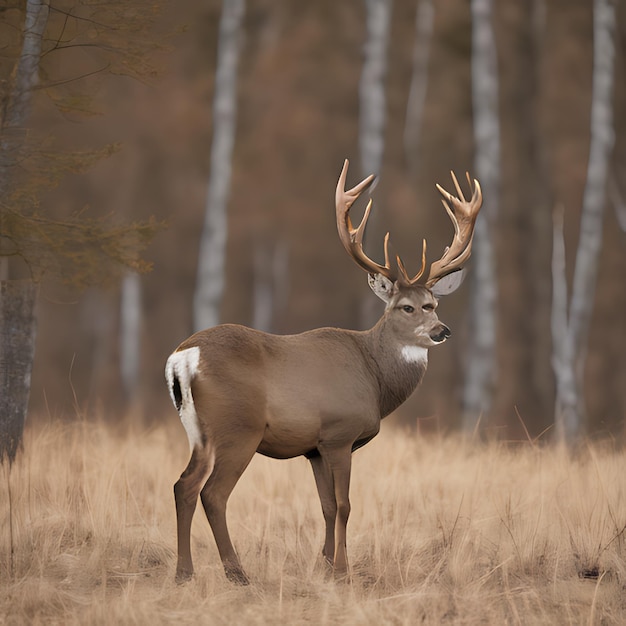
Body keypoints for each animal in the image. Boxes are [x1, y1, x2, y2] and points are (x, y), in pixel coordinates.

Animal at [163, 158, 480, 584]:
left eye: (435, 303)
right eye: (407, 307)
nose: (441, 331)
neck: (374, 377)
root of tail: (184, 356)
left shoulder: (312, 449)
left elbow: (327, 506)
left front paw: (326, 564)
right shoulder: (339, 435)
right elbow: (345, 504)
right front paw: (343, 570)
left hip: (197, 432)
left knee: (183, 485)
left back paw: (184, 572)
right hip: (238, 428)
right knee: (212, 492)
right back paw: (237, 572)